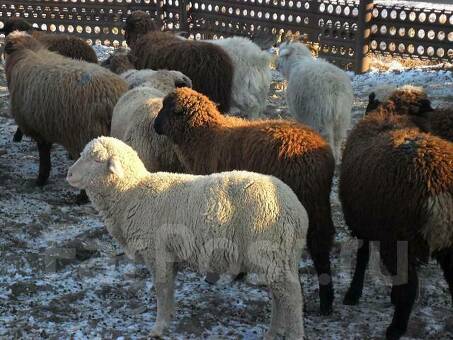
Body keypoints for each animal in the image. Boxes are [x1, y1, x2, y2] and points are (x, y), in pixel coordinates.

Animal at [4, 30, 127, 201]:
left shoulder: (40, 129)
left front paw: (40, 180)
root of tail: (110, 98)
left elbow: (44, 157)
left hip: (86, 136)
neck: (25, 53)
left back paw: (81, 198)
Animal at [66, 136, 308, 340]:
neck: (131, 193)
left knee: (292, 296)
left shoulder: (157, 253)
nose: (68, 174)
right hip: (280, 257)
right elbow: (169, 289)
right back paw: (273, 332)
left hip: (271, 251)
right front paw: (169, 318)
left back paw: (294, 334)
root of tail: (297, 210)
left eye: (97, 159)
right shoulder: (170, 255)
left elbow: (161, 290)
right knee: (279, 295)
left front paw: (158, 328)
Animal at [154, 86, 334, 314]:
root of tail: (321, 159)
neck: (206, 137)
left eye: (168, 108)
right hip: (319, 203)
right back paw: (326, 300)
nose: (154, 125)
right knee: (323, 240)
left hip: (304, 200)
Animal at [340, 89, 450, 338]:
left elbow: (362, 258)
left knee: (410, 287)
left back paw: (395, 328)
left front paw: (353, 293)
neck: (391, 115)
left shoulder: (359, 223)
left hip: (400, 238)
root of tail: (437, 187)